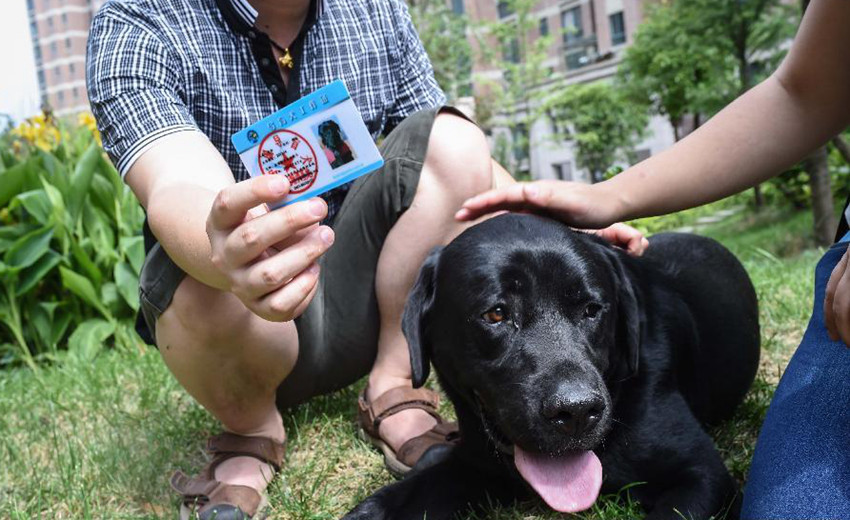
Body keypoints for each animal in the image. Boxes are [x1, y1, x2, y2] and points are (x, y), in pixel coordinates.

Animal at [342, 214, 760, 520]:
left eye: (592, 309)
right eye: (496, 313)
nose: (575, 412)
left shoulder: (702, 475)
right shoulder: (472, 464)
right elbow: (389, 500)